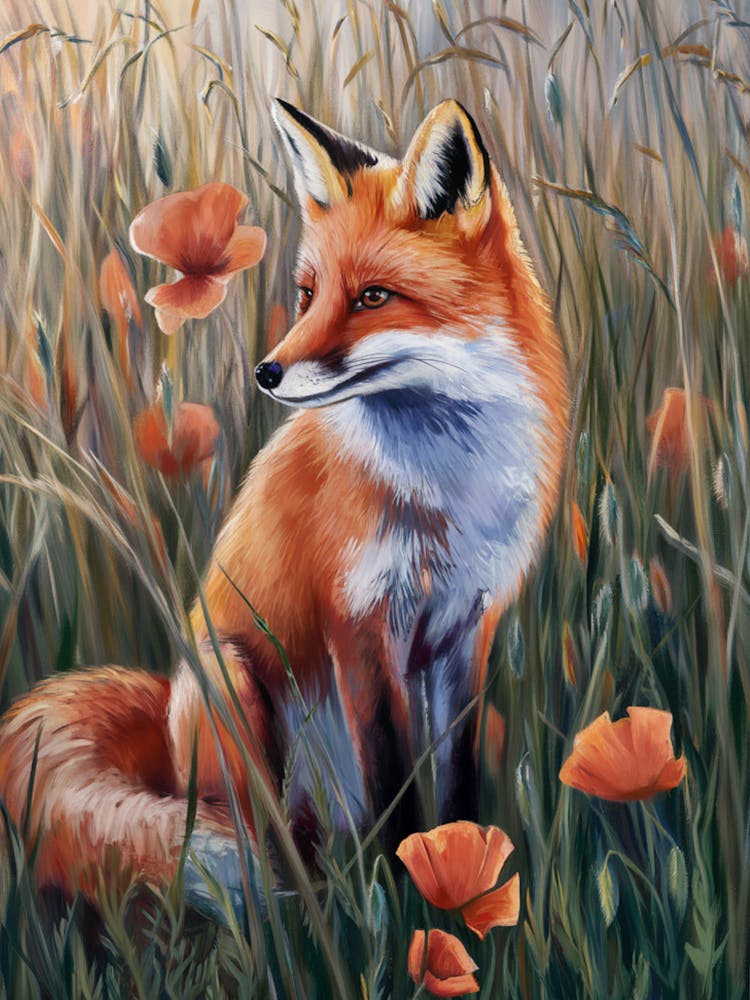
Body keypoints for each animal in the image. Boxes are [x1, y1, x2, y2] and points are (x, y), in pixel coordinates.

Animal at [0, 99, 569, 909]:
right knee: (263, 833)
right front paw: (412, 884)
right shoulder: (357, 622)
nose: (266, 372)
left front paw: (463, 863)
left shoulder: (469, 624)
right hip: (236, 687)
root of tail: (164, 708)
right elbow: (393, 777)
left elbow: (454, 773)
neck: (442, 489)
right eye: (307, 294)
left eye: (372, 297)